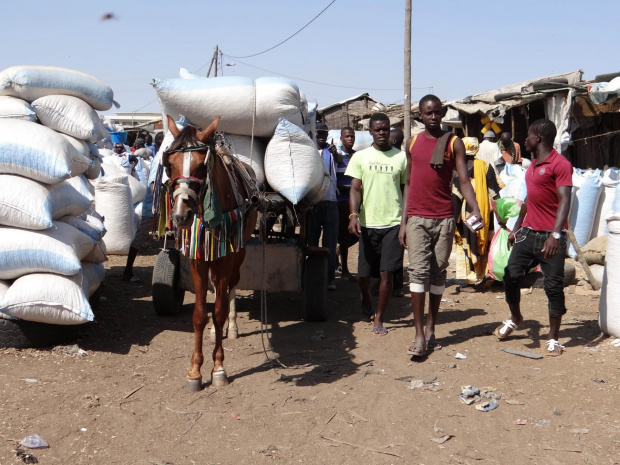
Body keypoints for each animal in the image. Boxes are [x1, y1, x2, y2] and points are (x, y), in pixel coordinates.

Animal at [162, 115, 260, 388]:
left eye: (201, 166)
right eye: (169, 165)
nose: (180, 216)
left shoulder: (226, 257)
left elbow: (218, 311)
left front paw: (218, 368)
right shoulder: (198, 258)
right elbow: (199, 314)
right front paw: (194, 371)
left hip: (239, 250)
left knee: (231, 286)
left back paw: (231, 327)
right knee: (216, 288)